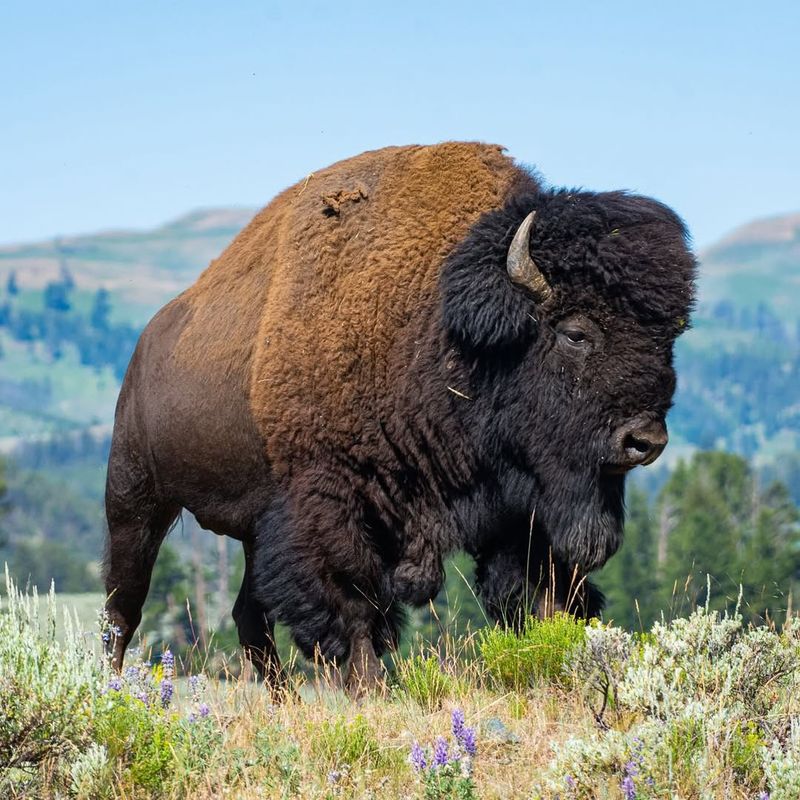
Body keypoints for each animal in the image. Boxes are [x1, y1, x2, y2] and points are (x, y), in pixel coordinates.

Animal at [104, 139, 692, 688]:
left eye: (669, 338)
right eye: (576, 333)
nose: (646, 440)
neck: (436, 326)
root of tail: (148, 342)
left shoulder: (521, 510)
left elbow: (539, 596)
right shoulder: (330, 508)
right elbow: (354, 606)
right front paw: (371, 692)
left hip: (252, 525)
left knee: (248, 615)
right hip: (135, 497)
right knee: (122, 608)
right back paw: (111, 684)